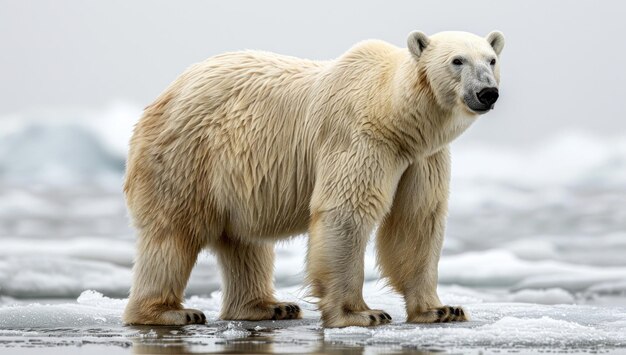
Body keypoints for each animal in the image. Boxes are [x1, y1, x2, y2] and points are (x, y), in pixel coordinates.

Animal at [120, 30, 502, 328]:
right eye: (457, 61)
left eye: (492, 59)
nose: (487, 92)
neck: (394, 115)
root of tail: (166, 94)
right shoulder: (359, 137)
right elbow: (346, 210)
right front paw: (361, 314)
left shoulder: (422, 158)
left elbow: (418, 220)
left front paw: (442, 309)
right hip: (188, 156)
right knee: (173, 232)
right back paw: (168, 312)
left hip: (237, 174)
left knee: (244, 241)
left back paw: (268, 306)